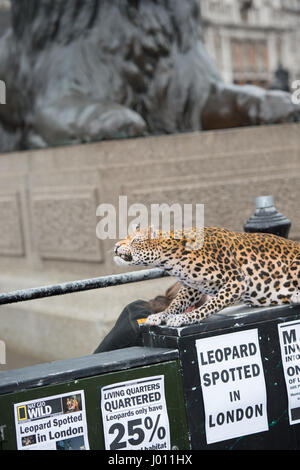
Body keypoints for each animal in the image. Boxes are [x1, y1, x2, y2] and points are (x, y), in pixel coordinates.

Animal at [113, 227, 300, 326]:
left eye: (136, 241)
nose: (116, 246)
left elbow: (208, 307)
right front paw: (162, 315)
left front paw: (182, 318)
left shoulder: (236, 282)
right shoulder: (192, 287)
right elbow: (177, 303)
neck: (170, 259)